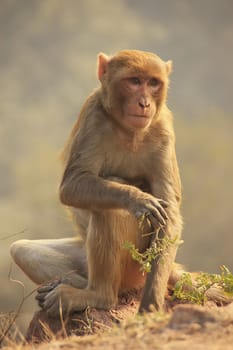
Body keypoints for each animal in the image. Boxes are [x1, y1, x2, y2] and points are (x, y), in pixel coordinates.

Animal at [10, 50, 183, 318]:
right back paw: (79, 287)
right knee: (23, 249)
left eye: (153, 82)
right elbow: (72, 185)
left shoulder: (163, 128)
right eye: (134, 81)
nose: (144, 103)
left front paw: (151, 304)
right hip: (90, 257)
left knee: (108, 210)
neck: (129, 131)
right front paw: (137, 199)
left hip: (136, 269)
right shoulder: (94, 117)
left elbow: (170, 214)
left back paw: (97, 296)